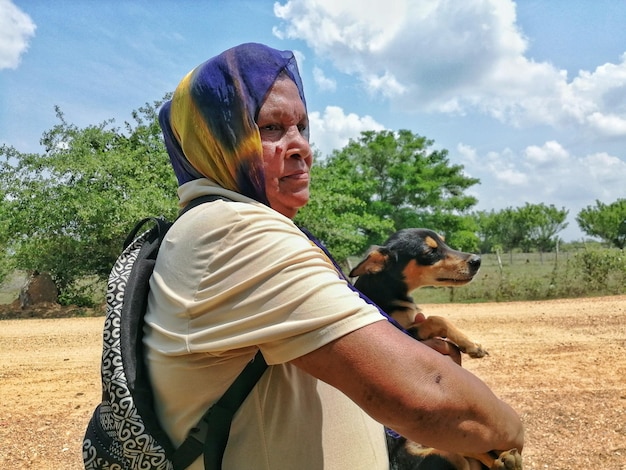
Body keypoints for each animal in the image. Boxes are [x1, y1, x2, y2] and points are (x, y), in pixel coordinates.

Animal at [348, 229, 520, 470]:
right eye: (430, 251)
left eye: (444, 243)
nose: (477, 260)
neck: (388, 292)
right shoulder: (405, 334)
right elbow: (437, 318)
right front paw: (471, 345)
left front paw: (472, 344)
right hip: (447, 454)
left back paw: (507, 459)